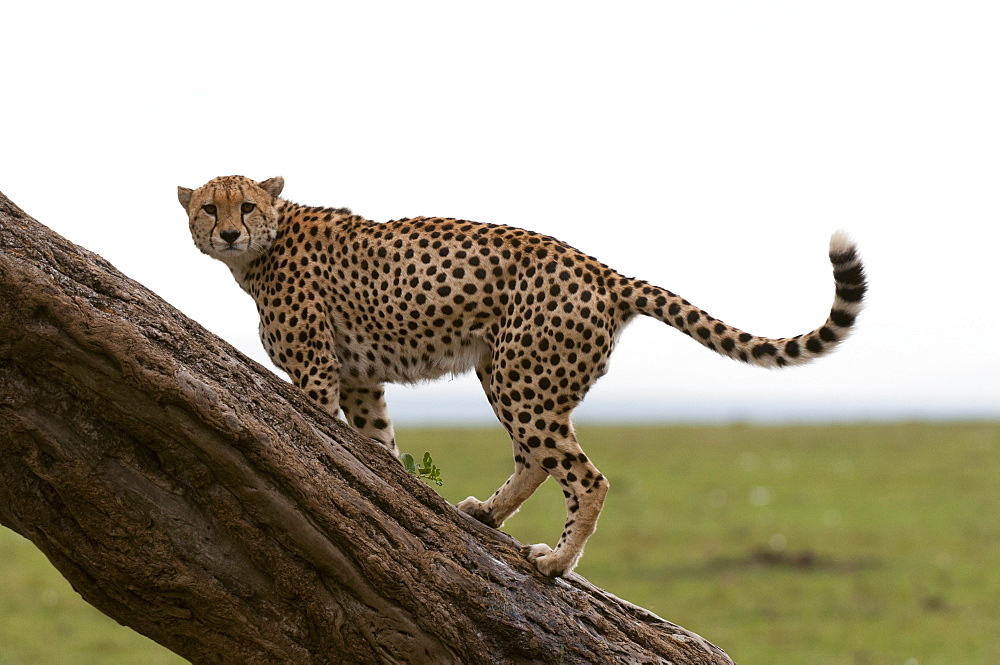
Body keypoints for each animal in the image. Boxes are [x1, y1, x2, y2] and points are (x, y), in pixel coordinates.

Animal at [180, 175, 868, 576]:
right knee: (537, 457)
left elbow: (319, 434)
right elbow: (376, 443)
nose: (231, 231)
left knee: (584, 475)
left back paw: (558, 561)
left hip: (521, 375)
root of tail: (603, 271)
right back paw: (489, 515)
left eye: (246, 205)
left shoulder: (319, 372)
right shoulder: (357, 379)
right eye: (210, 208)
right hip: (505, 369)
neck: (264, 248)